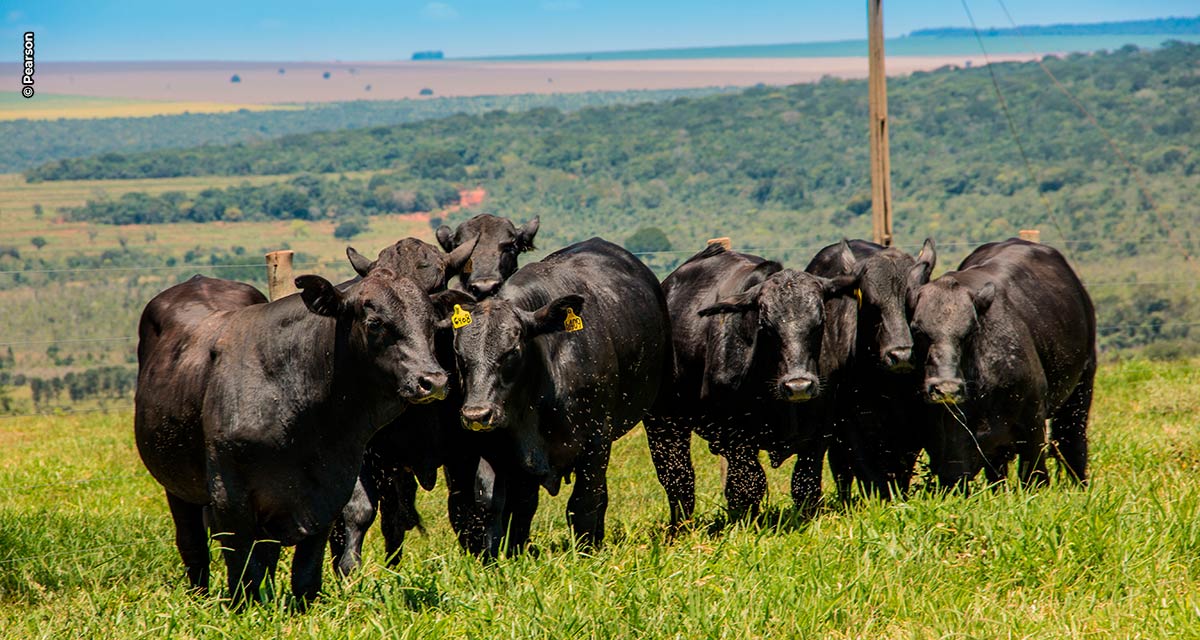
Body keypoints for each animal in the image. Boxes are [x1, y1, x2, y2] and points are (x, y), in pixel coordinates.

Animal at [135, 268, 463, 602]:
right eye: (375, 323)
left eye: (431, 325)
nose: (433, 381)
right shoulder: (230, 498)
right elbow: (243, 570)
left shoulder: (329, 494)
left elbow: (306, 572)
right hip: (178, 487)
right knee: (193, 546)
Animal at [448, 236, 672, 557]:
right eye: (459, 354)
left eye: (512, 350)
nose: (476, 414)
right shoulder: (497, 448)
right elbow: (495, 503)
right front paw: (502, 555)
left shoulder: (596, 440)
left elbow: (583, 504)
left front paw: (587, 551)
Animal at [643, 242, 859, 525]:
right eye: (765, 325)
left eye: (820, 322)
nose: (798, 386)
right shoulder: (736, 438)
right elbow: (748, 486)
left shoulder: (819, 433)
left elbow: (805, 486)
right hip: (663, 425)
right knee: (678, 481)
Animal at [806, 236, 936, 497]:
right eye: (871, 304)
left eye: (913, 304)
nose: (901, 355)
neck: (890, 389)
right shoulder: (851, 425)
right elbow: (868, 473)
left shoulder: (912, 427)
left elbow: (902, 471)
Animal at [907, 236, 1099, 487]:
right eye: (917, 330)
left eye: (972, 330)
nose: (946, 388)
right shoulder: (950, 449)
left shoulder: (1033, 426)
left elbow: (1035, 477)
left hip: (1081, 388)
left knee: (1072, 444)